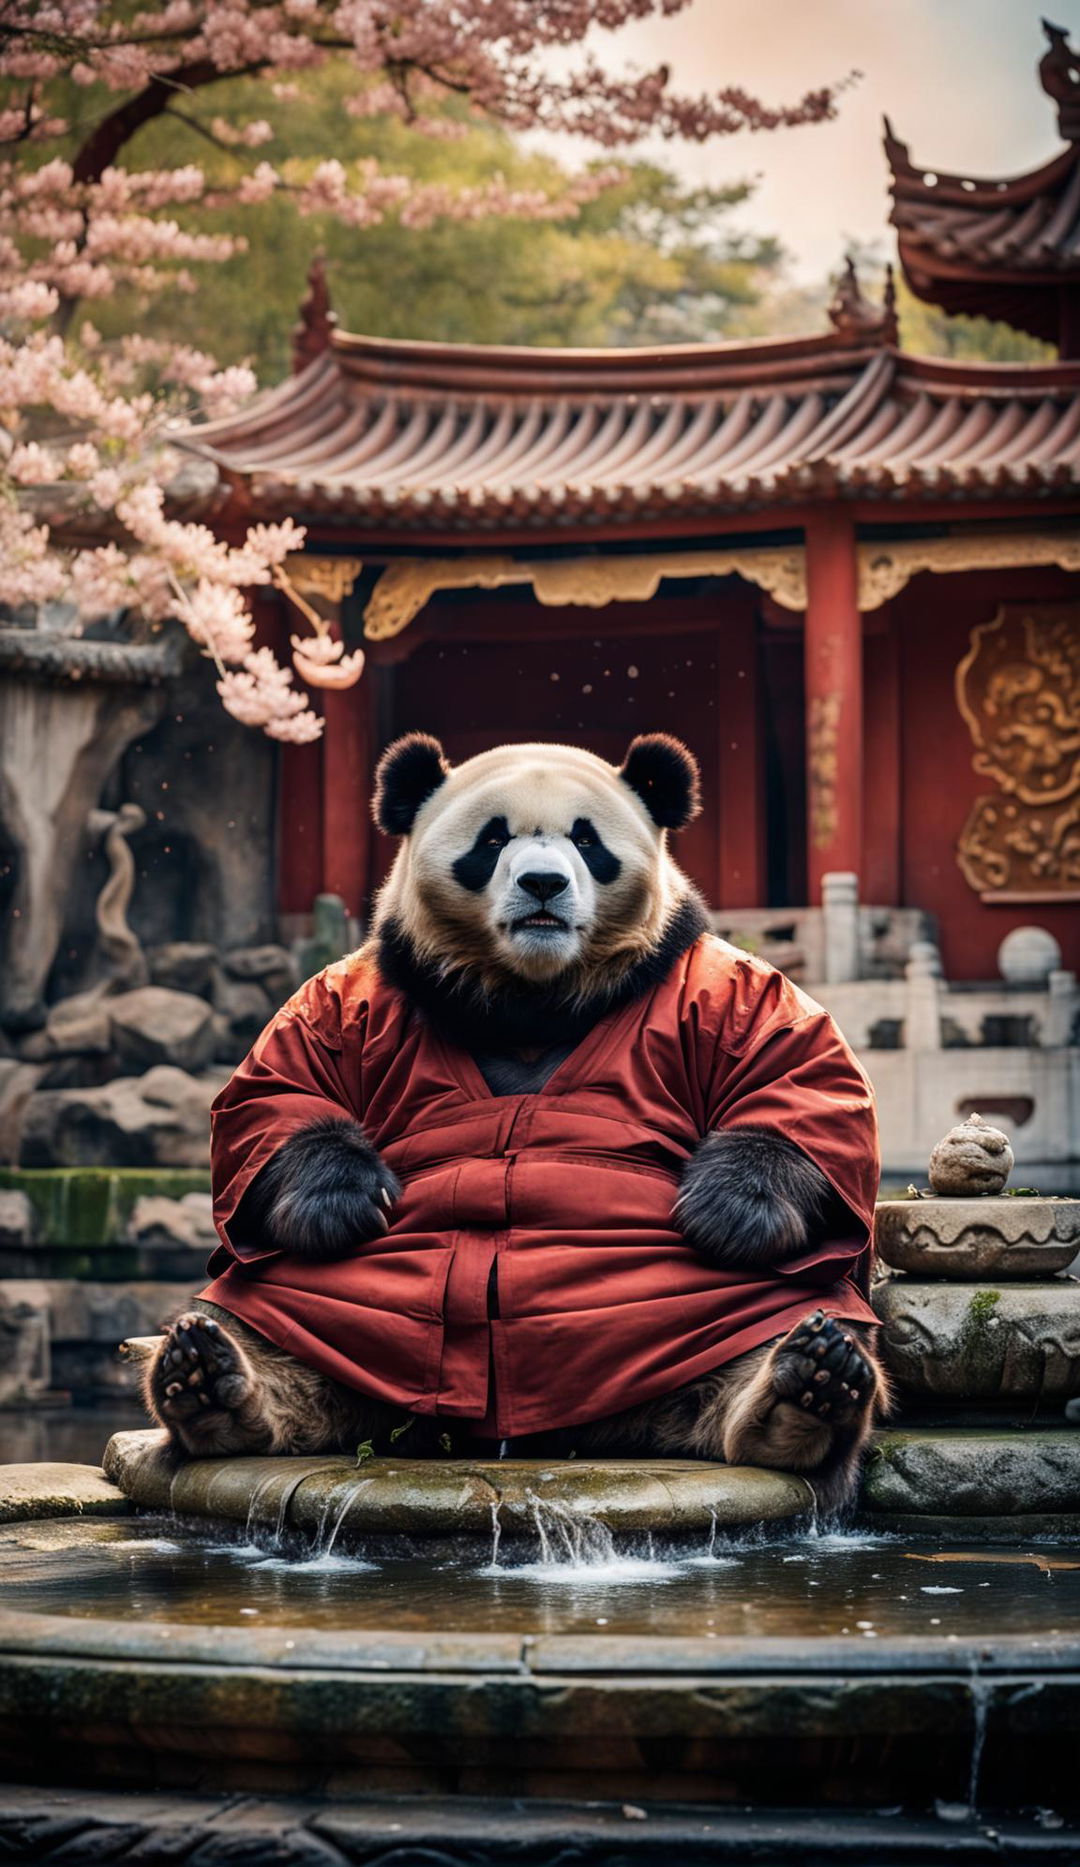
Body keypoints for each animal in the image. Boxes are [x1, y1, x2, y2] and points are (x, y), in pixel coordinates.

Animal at [147, 731, 885, 1516]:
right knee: (273, 1302)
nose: (542, 884)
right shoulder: (366, 989)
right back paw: (209, 1379)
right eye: (493, 839)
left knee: (774, 1304)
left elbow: (795, 1078)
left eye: (587, 840)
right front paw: (342, 1198)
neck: (536, 993)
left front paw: (728, 1209)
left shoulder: (706, 982)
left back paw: (809, 1389)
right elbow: (280, 1093)